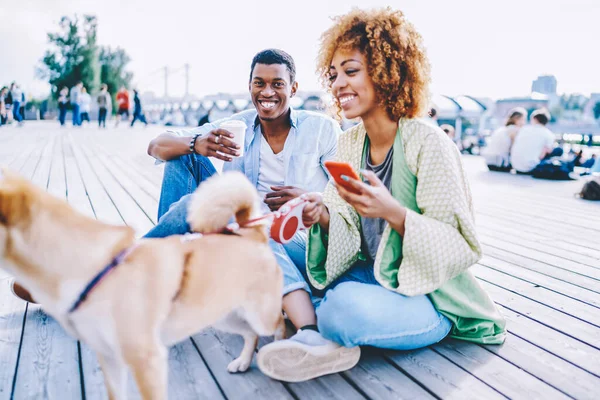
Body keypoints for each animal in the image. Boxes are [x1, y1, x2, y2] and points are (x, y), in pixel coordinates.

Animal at [0, 170, 284, 400]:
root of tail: (250, 234)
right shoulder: (111, 360)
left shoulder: (147, 361)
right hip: (224, 316)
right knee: (250, 334)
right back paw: (243, 362)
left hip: (260, 315)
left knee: (278, 323)